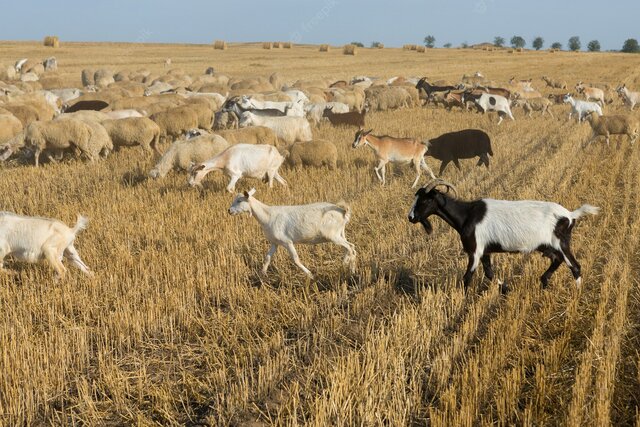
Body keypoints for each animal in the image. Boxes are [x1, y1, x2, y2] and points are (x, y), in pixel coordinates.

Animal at [228, 188, 356, 278]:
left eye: (239, 201)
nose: (229, 211)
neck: (267, 216)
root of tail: (343, 211)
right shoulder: (275, 242)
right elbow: (267, 258)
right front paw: (262, 274)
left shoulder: (287, 241)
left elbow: (295, 259)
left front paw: (310, 274)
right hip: (339, 233)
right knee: (351, 248)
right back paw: (346, 265)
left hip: (332, 235)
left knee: (350, 247)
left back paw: (350, 269)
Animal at [408, 179, 599, 288]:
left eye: (425, 200)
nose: (411, 217)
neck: (467, 215)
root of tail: (570, 215)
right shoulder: (485, 251)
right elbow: (489, 273)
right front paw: (505, 288)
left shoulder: (475, 250)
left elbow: (467, 277)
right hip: (548, 245)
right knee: (557, 260)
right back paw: (544, 282)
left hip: (561, 242)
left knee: (575, 266)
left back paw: (575, 297)